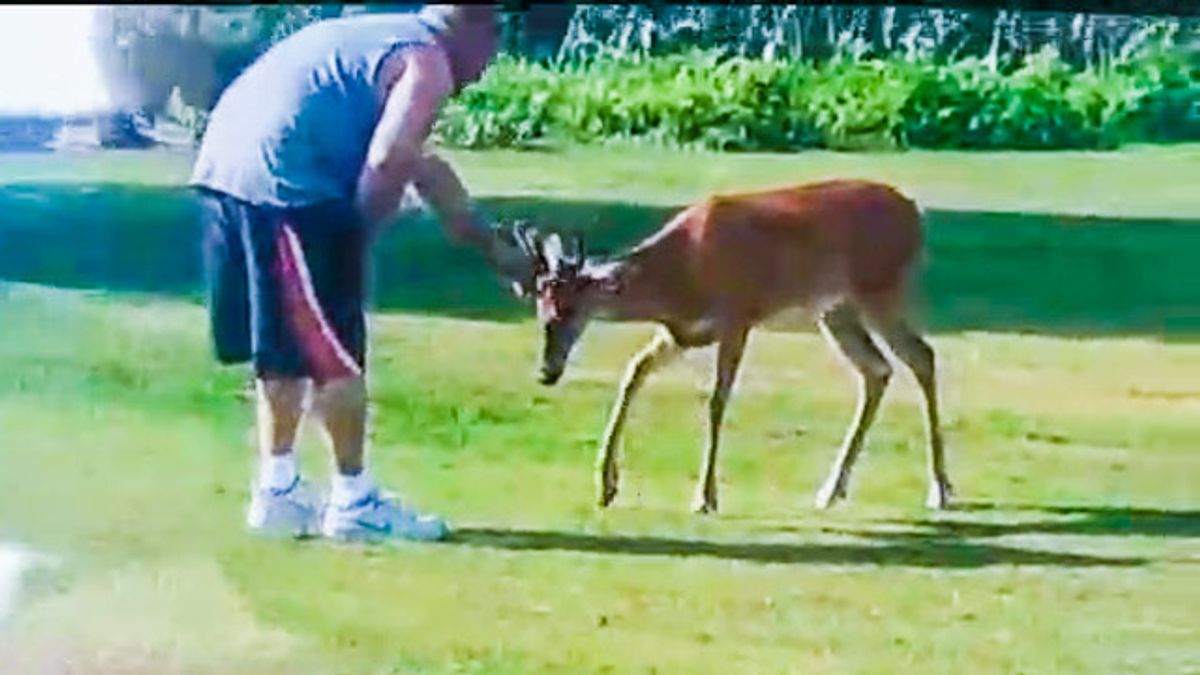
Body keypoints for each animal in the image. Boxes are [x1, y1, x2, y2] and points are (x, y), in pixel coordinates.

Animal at [508, 179, 953, 515]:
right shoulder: (682, 332)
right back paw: (831, 491)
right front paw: (606, 485)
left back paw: (940, 490)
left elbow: (716, 402)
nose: (546, 372)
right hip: (836, 309)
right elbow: (634, 371)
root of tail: (916, 214)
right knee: (877, 370)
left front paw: (705, 497)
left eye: (568, 310)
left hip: (880, 289)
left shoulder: (737, 317)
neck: (682, 272)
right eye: (539, 308)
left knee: (921, 357)